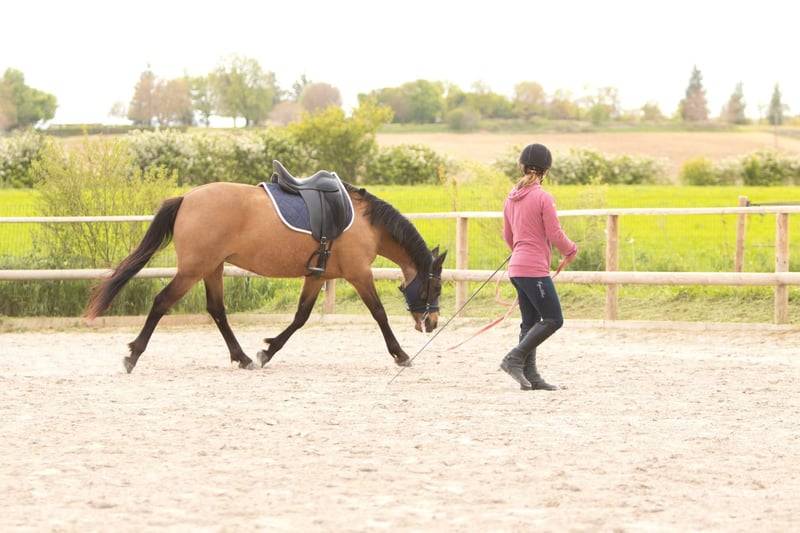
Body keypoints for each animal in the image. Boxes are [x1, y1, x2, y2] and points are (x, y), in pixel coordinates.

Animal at [85, 175, 447, 374]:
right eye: (436, 287)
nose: (431, 323)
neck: (364, 221)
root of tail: (186, 197)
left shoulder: (317, 276)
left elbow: (300, 317)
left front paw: (267, 351)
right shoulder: (359, 274)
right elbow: (379, 314)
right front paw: (401, 355)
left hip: (212, 267)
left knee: (217, 310)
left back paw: (242, 358)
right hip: (194, 269)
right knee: (162, 302)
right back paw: (133, 355)